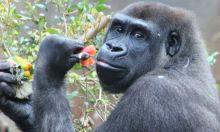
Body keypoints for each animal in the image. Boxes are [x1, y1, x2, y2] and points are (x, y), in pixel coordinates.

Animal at [0, 2, 220, 132]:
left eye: (138, 35)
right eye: (119, 29)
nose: (114, 47)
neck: (177, 62)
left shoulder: (152, 94)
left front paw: (51, 60)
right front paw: (23, 106)